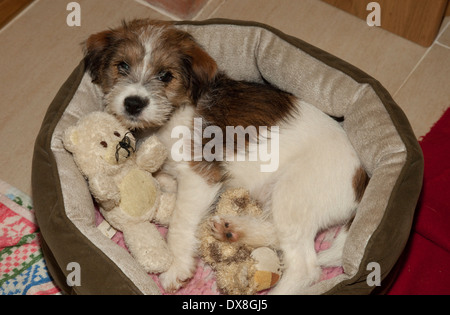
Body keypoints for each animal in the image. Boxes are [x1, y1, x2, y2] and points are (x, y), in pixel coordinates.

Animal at [82, 19, 368, 296]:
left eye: (166, 76)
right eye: (122, 66)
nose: (133, 103)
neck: (170, 116)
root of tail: (361, 179)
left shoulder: (199, 176)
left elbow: (179, 221)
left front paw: (176, 265)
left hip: (293, 192)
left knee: (305, 268)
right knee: (275, 234)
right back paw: (233, 230)